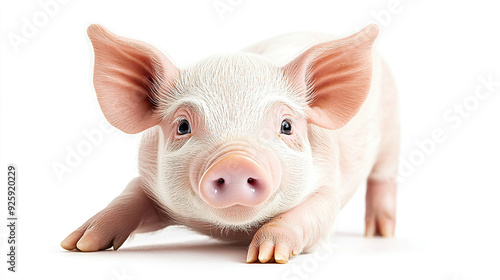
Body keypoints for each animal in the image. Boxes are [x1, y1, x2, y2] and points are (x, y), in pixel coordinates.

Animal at [61, 23, 398, 264]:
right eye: (182, 126)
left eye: (286, 126)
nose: (235, 162)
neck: (233, 231)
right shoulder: (149, 179)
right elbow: (129, 198)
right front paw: (79, 244)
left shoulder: (327, 184)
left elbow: (315, 214)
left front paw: (267, 257)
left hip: (393, 135)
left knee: (383, 178)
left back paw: (380, 234)